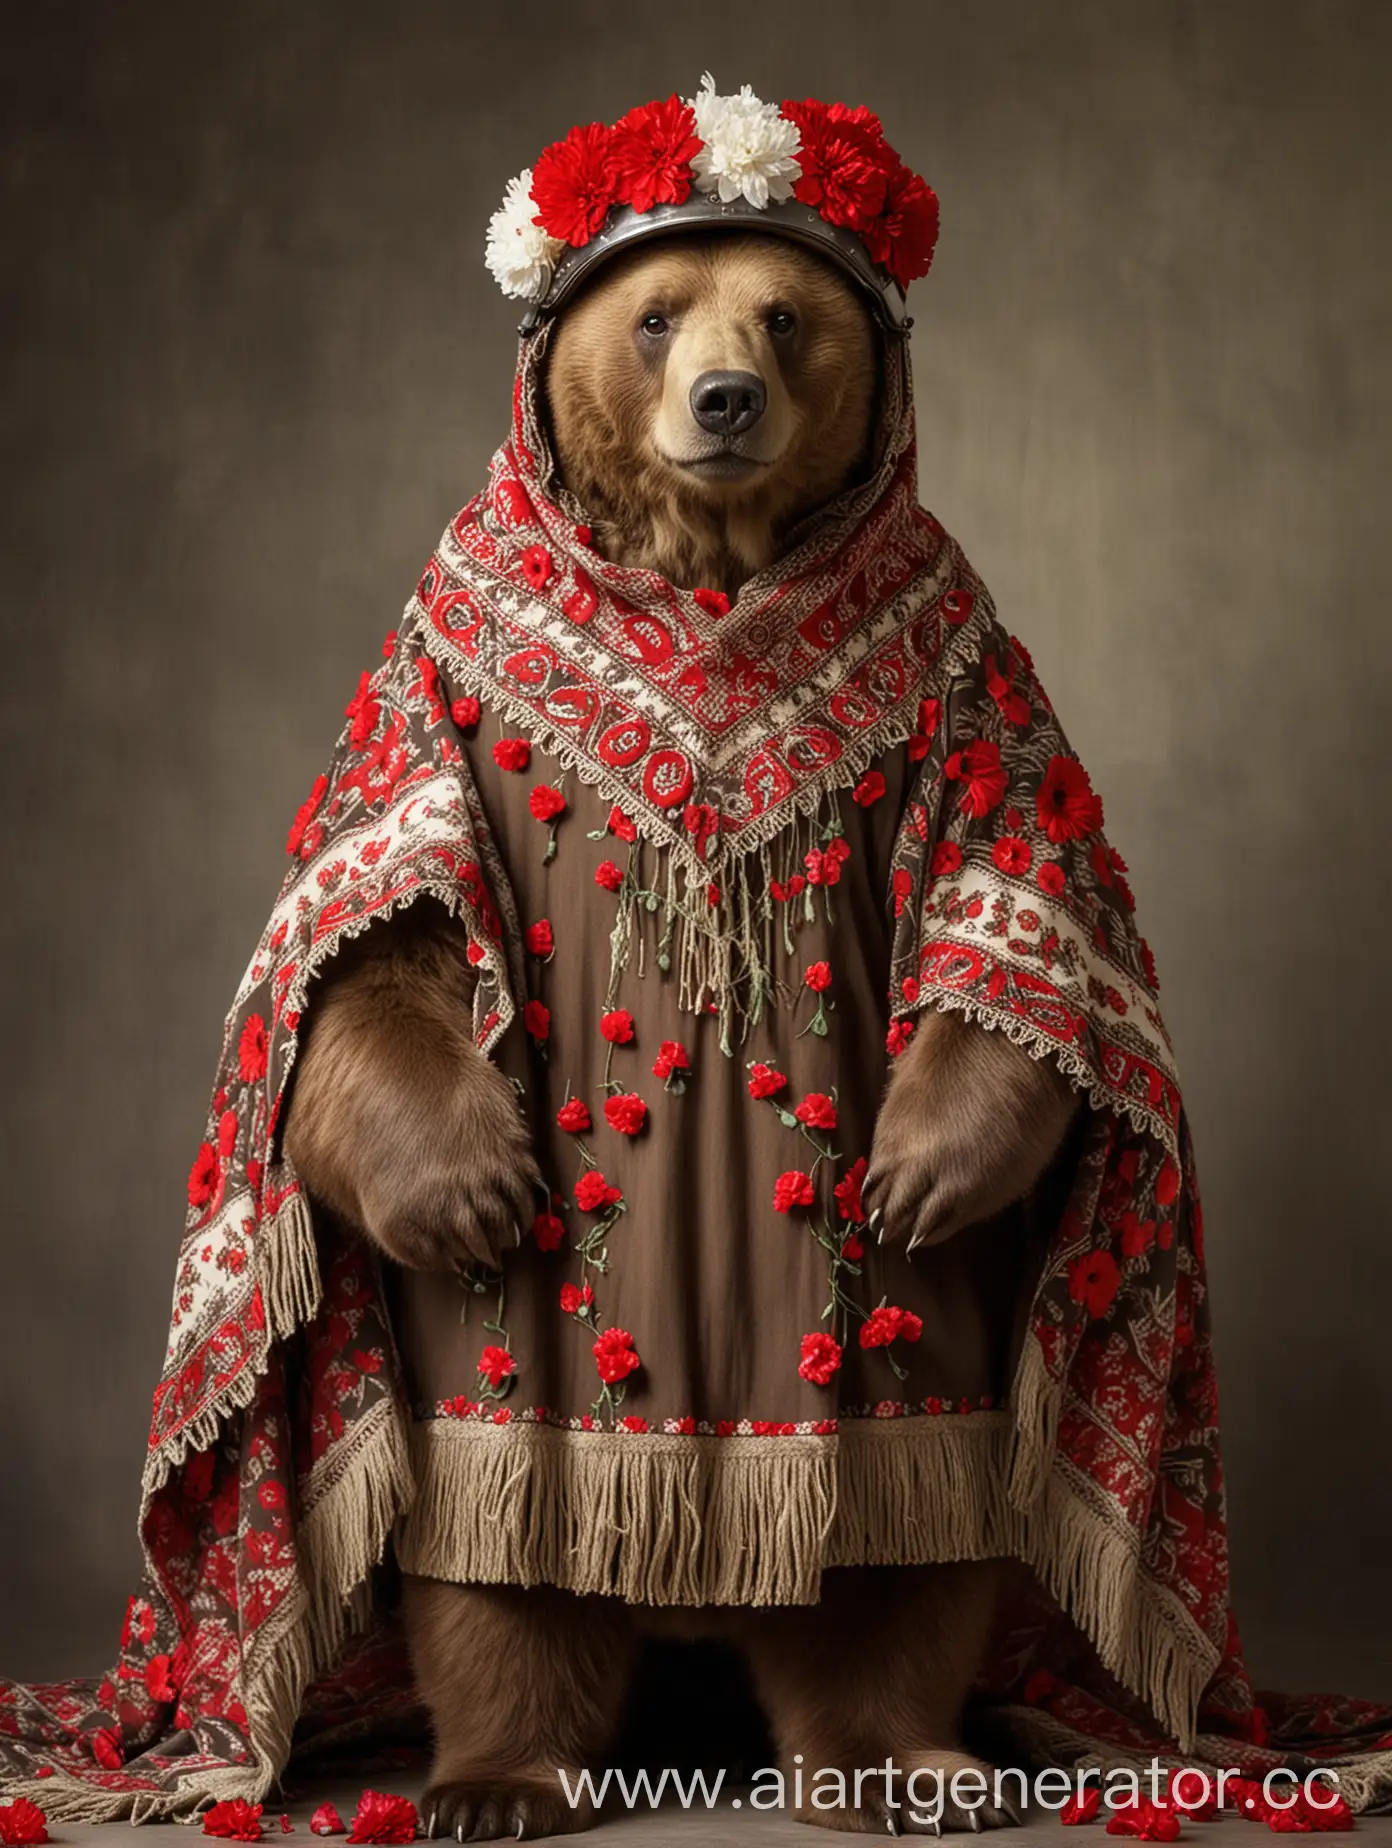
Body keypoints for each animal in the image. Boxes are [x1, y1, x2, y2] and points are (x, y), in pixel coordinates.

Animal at [284, 231, 1072, 1833]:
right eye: (652, 317)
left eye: (783, 314)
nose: (724, 397)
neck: (709, 573)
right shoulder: (431, 674)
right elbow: (377, 933)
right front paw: (464, 1183)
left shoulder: (962, 664)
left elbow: (1006, 893)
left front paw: (925, 1162)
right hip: (505, 1388)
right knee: (497, 1566)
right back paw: (495, 1778)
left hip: (901, 1362)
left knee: (904, 1560)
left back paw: (912, 1764)